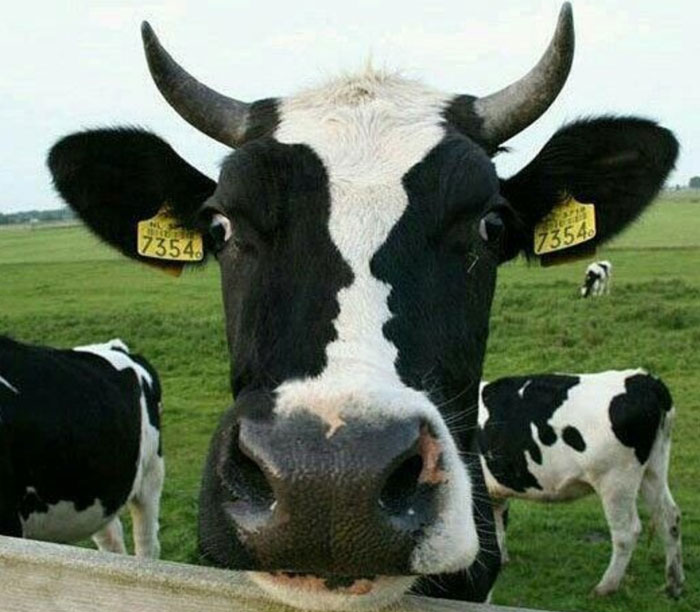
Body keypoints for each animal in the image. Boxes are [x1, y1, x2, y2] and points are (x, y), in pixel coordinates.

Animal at [0, 337, 163, 558]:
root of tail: (116, 347)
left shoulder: (8, 520)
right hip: (98, 490)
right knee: (112, 538)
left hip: (151, 474)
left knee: (147, 542)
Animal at [478, 370, 684, 598]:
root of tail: (644, 379)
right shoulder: (495, 490)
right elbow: (497, 523)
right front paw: (500, 559)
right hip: (653, 469)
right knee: (669, 517)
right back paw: (674, 583)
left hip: (616, 480)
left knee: (627, 532)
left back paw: (606, 586)